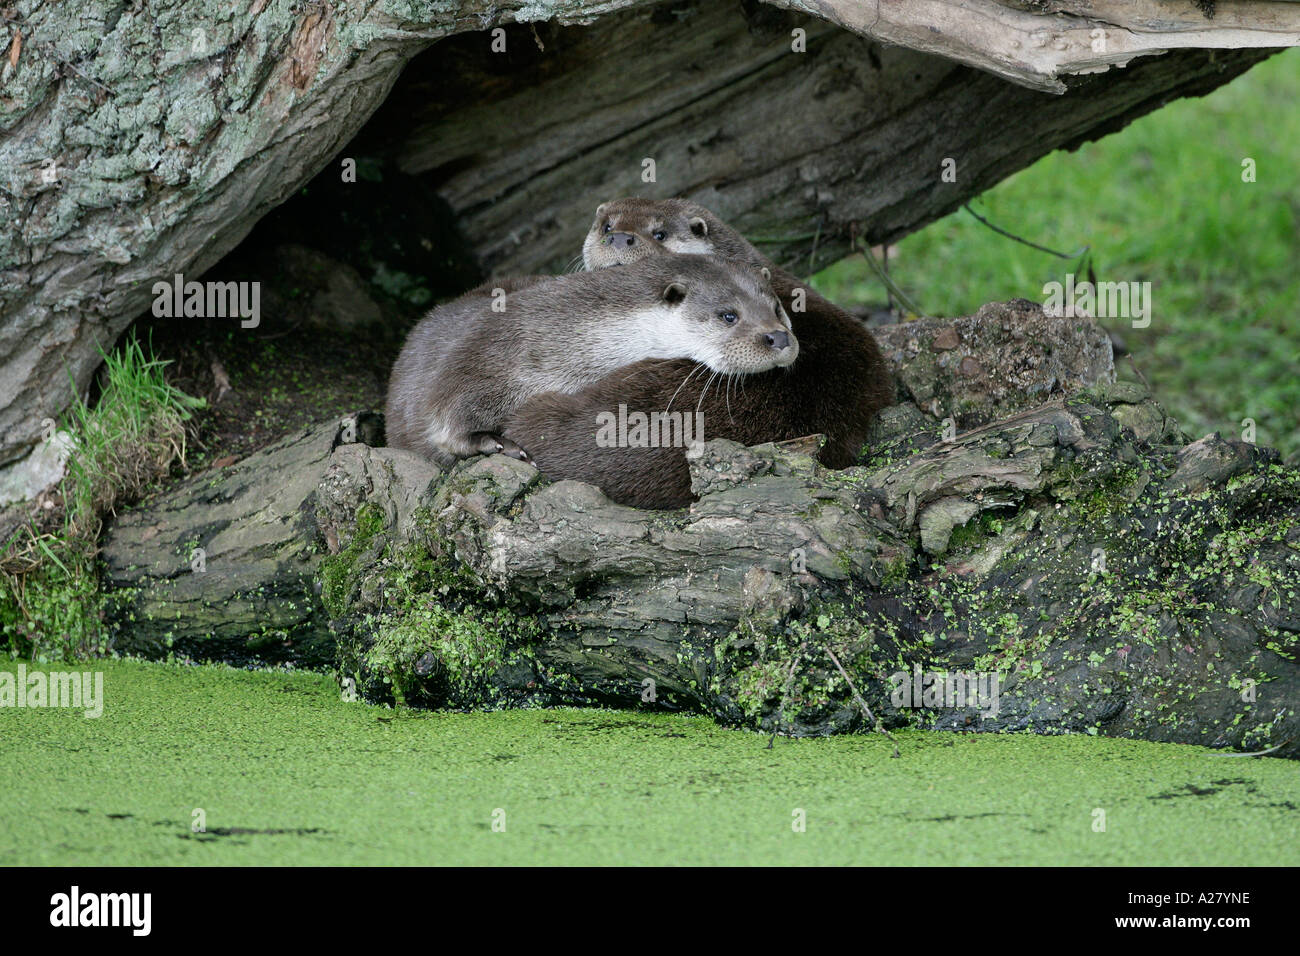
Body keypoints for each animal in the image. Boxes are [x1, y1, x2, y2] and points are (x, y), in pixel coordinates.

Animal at [385, 252, 797, 467]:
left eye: (777, 307)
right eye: (728, 315)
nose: (779, 337)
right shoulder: (488, 353)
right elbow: (443, 419)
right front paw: (496, 442)